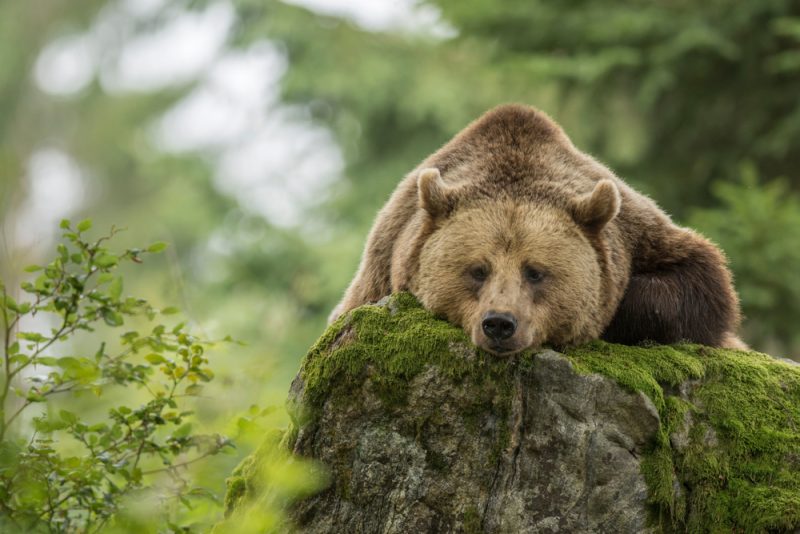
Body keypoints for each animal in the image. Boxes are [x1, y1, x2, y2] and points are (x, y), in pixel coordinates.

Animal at [330, 104, 745, 355]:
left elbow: (699, 281)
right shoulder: (384, 262)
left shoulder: (640, 233)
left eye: (535, 272)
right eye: (478, 270)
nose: (499, 324)